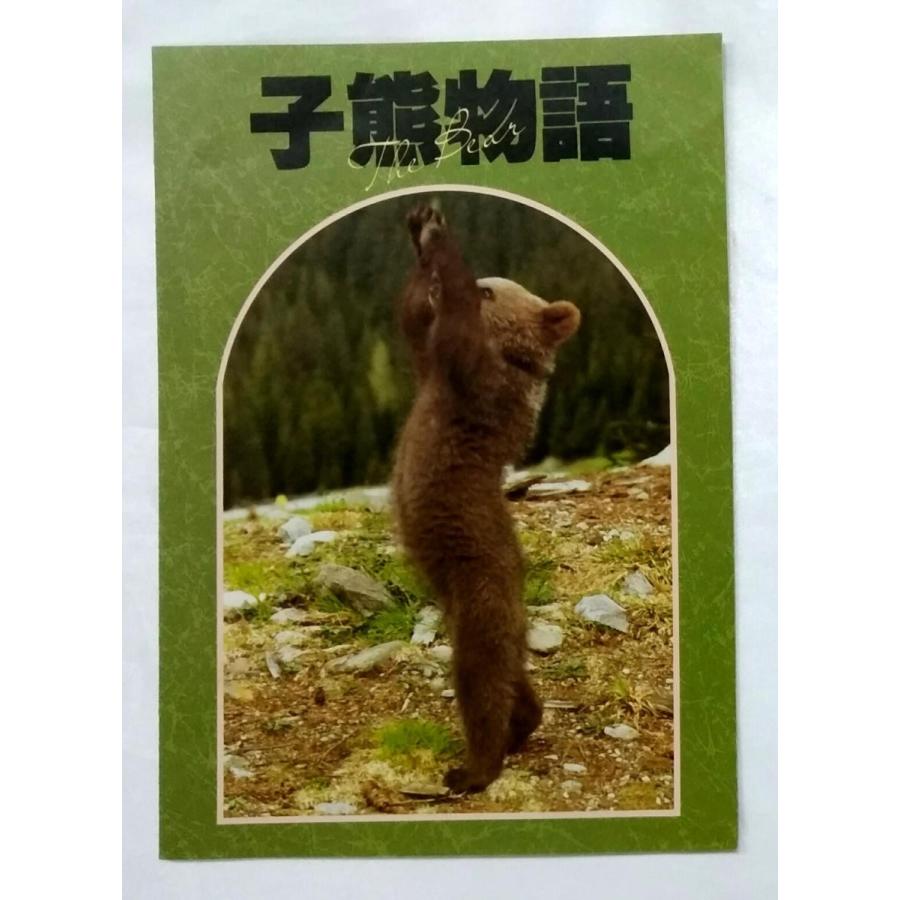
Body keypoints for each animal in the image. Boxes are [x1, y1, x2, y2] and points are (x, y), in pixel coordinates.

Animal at [391, 204, 581, 793]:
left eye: (492, 289)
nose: (482, 281)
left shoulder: (477, 385)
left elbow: (451, 330)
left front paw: (438, 237)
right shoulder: (430, 370)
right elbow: (414, 319)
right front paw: (420, 226)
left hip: (476, 570)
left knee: (481, 674)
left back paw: (474, 768)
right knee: (509, 671)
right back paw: (526, 722)